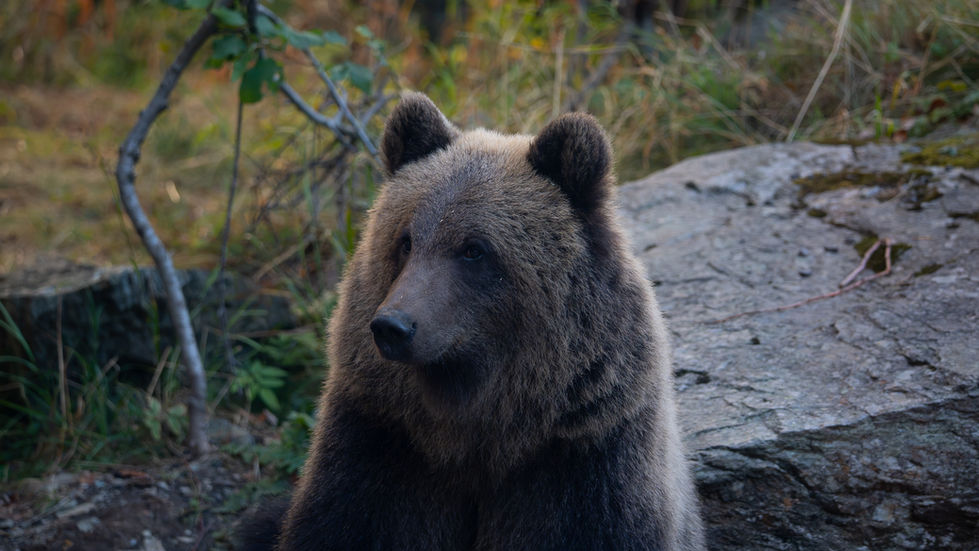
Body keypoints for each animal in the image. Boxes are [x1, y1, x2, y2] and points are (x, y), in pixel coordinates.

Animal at [243, 92, 704, 551]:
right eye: (405, 240)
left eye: (474, 249)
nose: (393, 327)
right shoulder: (383, 444)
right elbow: (351, 521)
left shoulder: (584, 457)